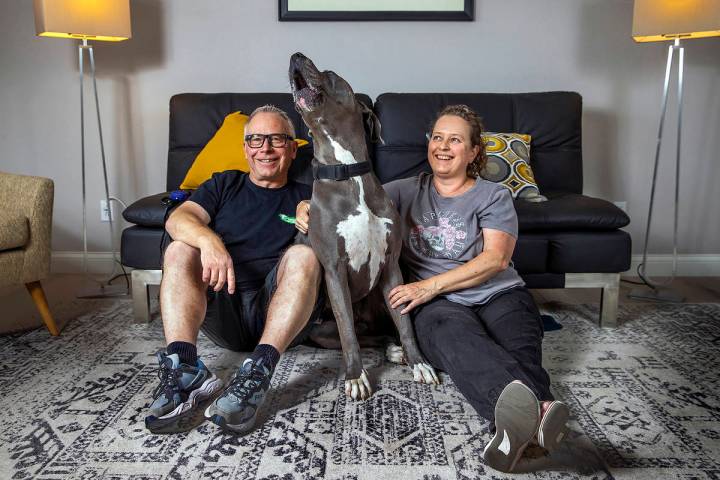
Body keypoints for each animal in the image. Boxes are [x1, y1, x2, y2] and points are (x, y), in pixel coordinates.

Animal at [288, 52, 438, 400]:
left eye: (330, 73)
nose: (295, 56)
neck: (348, 172)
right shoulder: (334, 270)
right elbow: (348, 335)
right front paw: (356, 376)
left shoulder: (391, 266)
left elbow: (405, 323)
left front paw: (418, 362)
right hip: (321, 329)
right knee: (356, 333)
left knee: (377, 332)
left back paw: (396, 350)